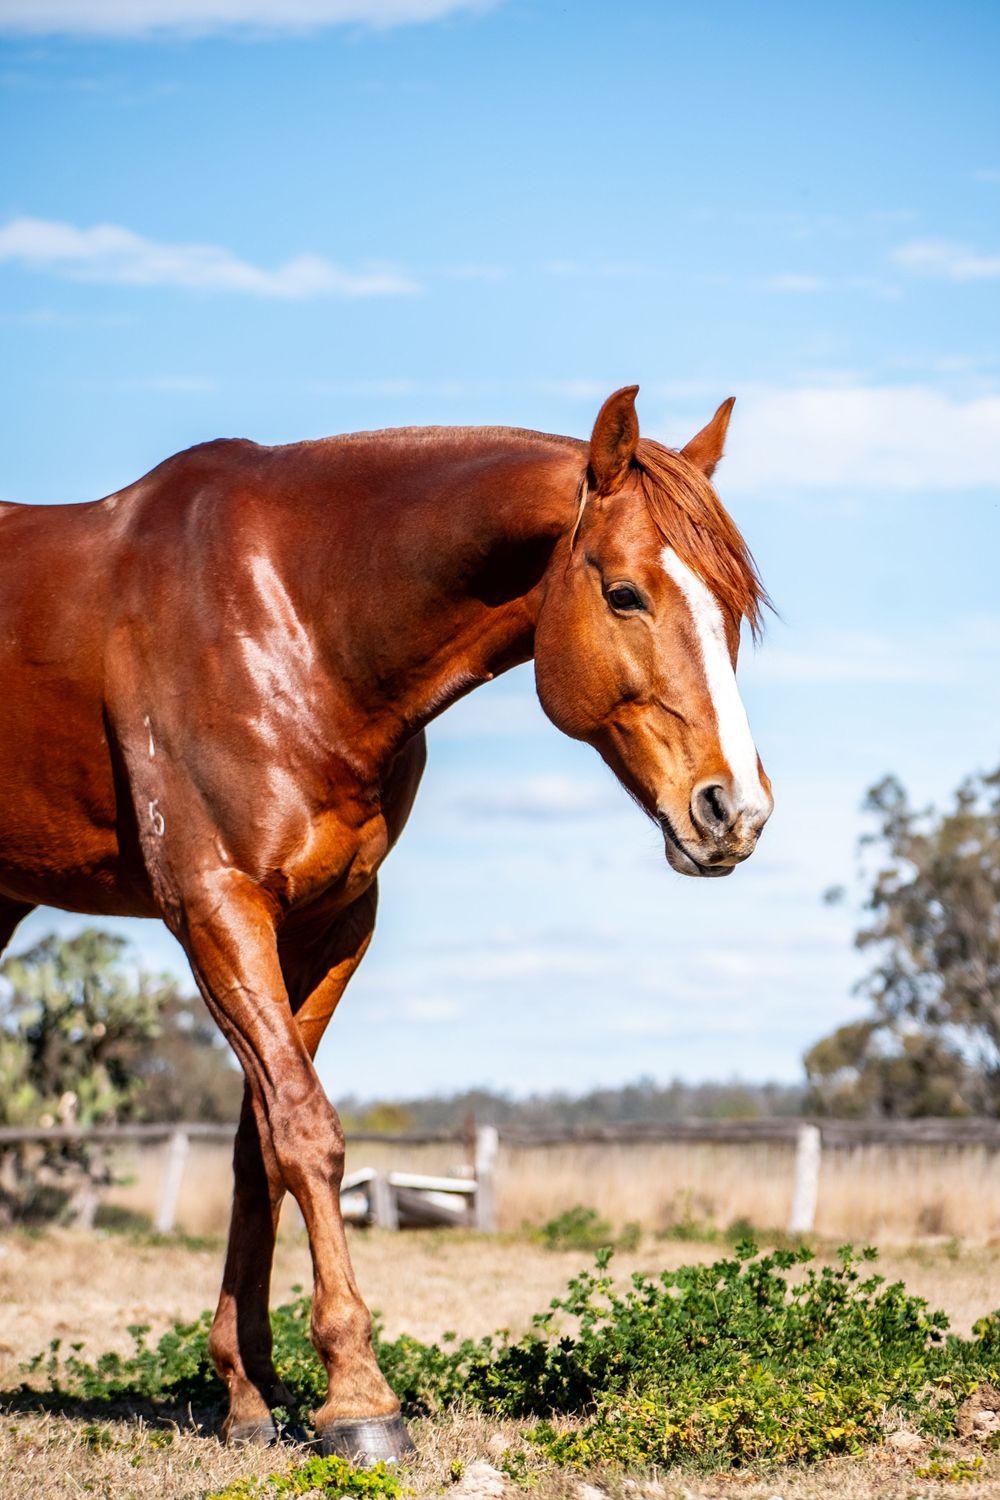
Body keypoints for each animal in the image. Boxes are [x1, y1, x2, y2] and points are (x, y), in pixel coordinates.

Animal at [0, 385, 772, 1463]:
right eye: (624, 594)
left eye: (733, 607)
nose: (734, 811)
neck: (292, 617)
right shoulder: (214, 907)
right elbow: (306, 1132)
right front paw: (359, 1397)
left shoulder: (331, 921)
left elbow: (259, 1149)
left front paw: (249, 1392)